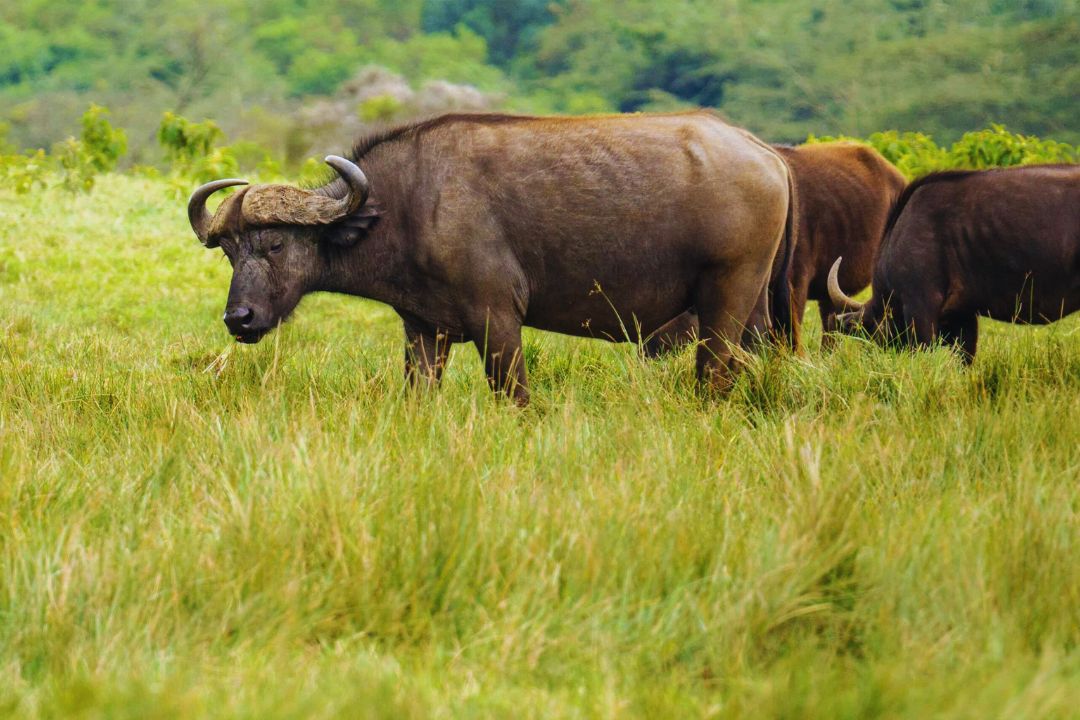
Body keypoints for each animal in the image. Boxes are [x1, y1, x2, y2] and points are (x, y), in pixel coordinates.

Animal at [188, 111, 796, 404]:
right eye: (229, 251)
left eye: (275, 243)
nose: (238, 319)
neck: (405, 207)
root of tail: (767, 154)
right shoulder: (424, 331)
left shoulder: (497, 320)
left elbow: (515, 397)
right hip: (756, 311)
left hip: (725, 300)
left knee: (714, 372)